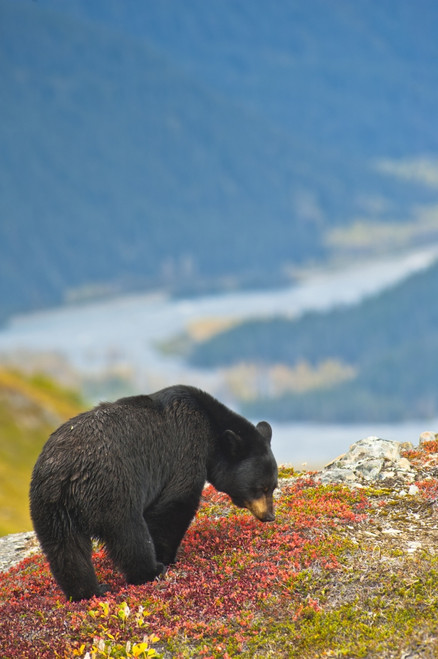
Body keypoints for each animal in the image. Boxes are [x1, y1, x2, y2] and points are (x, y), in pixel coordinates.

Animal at [30, 385, 278, 601]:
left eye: (273, 486)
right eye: (261, 488)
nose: (270, 516)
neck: (208, 426)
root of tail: (68, 473)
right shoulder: (186, 448)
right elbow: (177, 502)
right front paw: (167, 557)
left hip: (50, 507)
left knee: (66, 549)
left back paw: (88, 591)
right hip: (113, 490)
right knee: (129, 533)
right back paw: (151, 571)